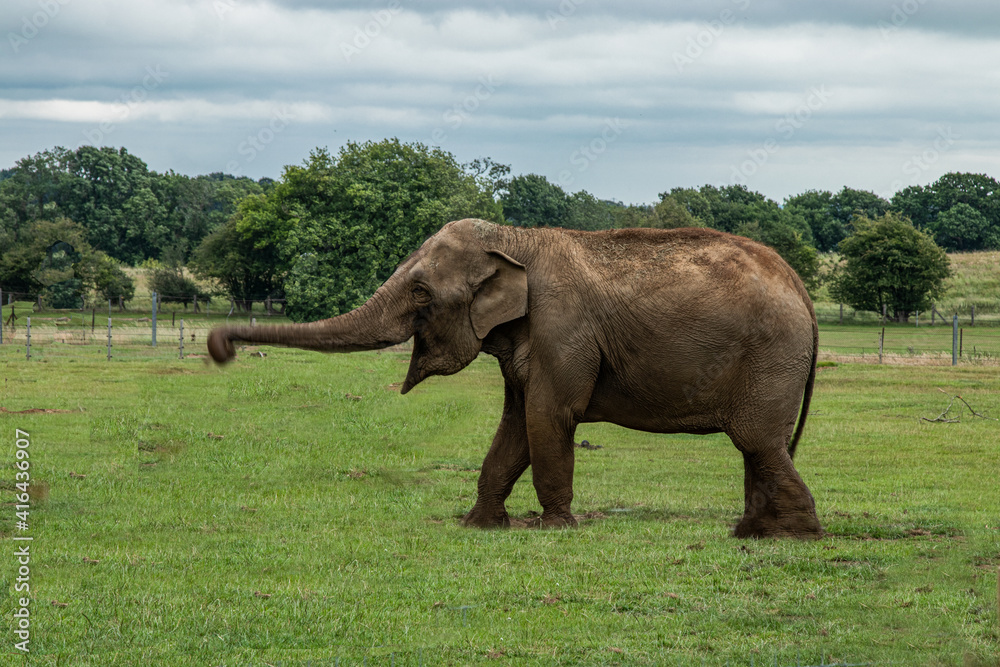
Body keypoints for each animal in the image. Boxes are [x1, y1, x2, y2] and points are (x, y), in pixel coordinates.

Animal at [208, 219, 823, 538]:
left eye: (421, 292)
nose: (220, 348)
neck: (514, 237)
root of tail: (799, 285)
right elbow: (514, 423)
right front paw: (478, 525)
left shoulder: (562, 327)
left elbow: (547, 416)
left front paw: (557, 528)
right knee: (761, 446)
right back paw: (756, 532)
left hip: (769, 356)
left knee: (757, 439)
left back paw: (791, 535)